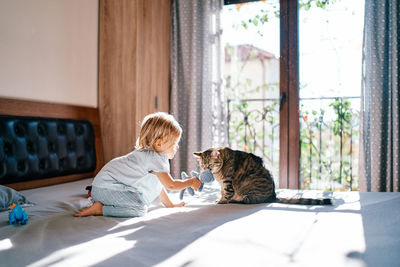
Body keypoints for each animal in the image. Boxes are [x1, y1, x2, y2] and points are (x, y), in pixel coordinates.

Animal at [194, 148, 332, 206]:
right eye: (202, 165)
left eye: (210, 164)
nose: (206, 170)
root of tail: (273, 196)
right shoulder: (223, 184)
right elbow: (223, 192)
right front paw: (220, 198)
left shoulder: (227, 182)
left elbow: (227, 193)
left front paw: (221, 201)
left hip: (250, 193)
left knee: (246, 201)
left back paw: (234, 200)